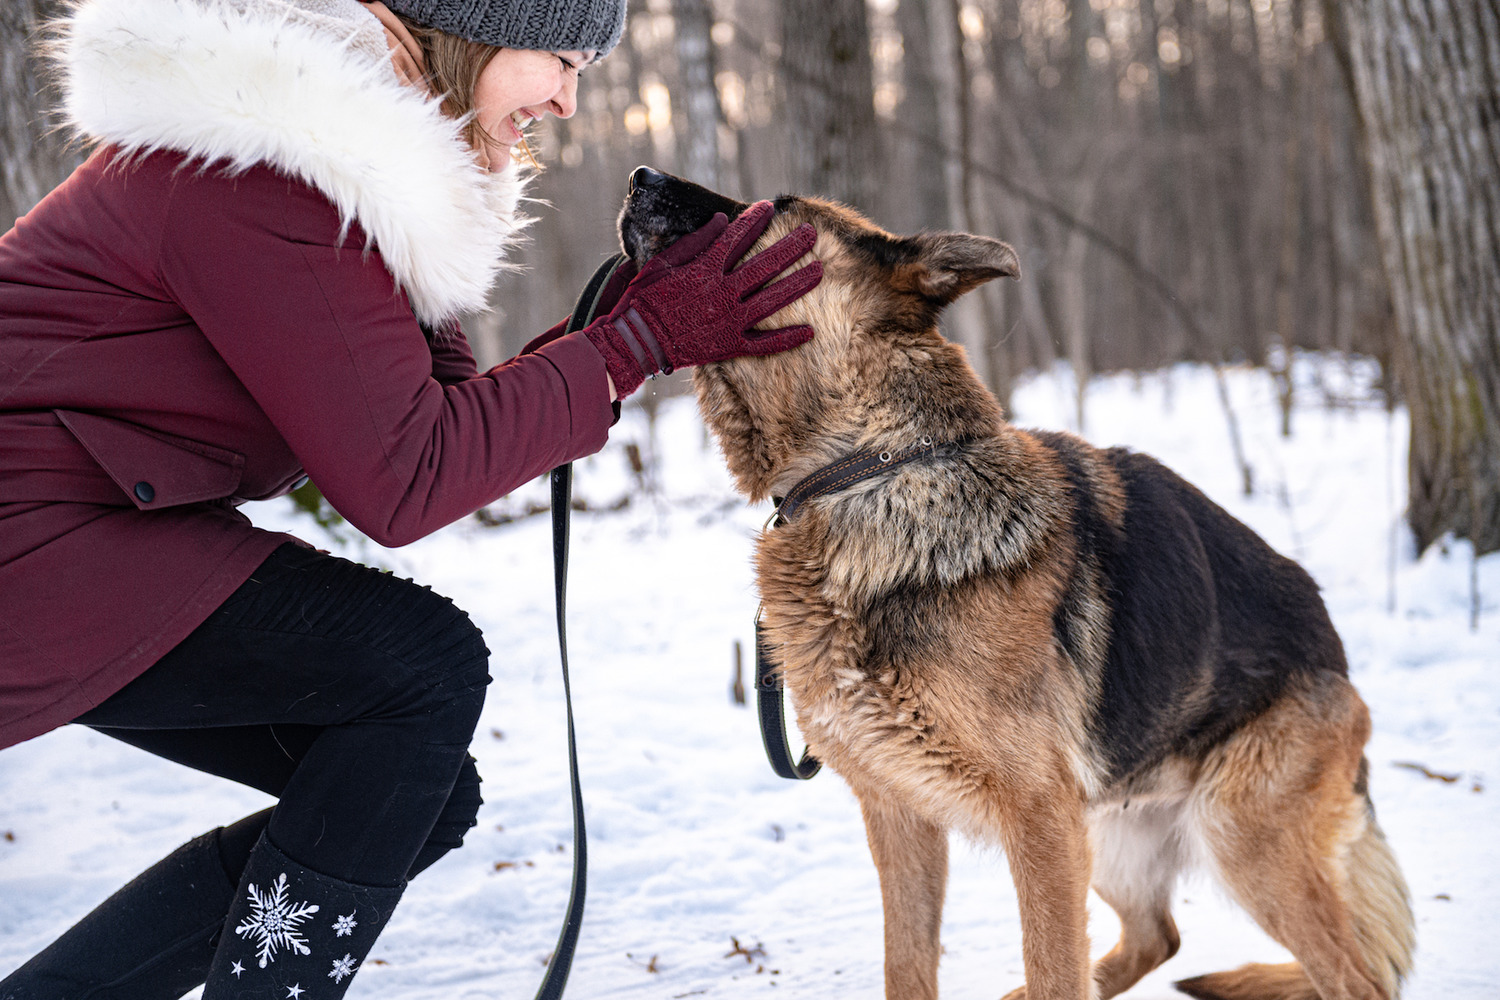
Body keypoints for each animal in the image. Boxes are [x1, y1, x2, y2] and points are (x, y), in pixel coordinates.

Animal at [618, 167, 1416, 995]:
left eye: (773, 211)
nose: (642, 175)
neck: (868, 467)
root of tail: (1336, 653)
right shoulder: (902, 816)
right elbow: (909, 965)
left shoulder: (1036, 817)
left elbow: (1055, 966)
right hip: (1111, 834)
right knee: (1156, 937)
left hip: (1238, 839)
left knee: (1355, 978)